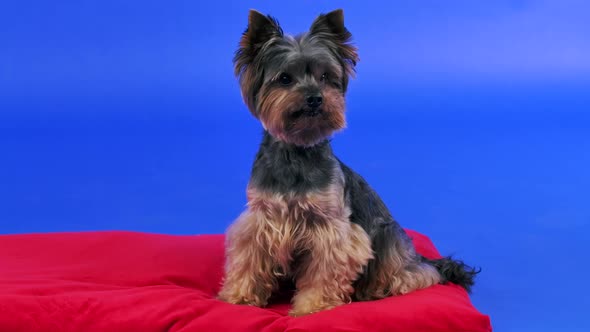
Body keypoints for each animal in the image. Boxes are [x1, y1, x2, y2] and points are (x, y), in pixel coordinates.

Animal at [219, 8, 480, 316]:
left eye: (325, 76)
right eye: (284, 78)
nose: (315, 98)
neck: (297, 151)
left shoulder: (331, 230)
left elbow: (323, 271)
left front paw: (312, 308)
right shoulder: (259, 221)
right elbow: (248, 262)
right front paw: (238, 298)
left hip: (388, 238)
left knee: (417, 275)